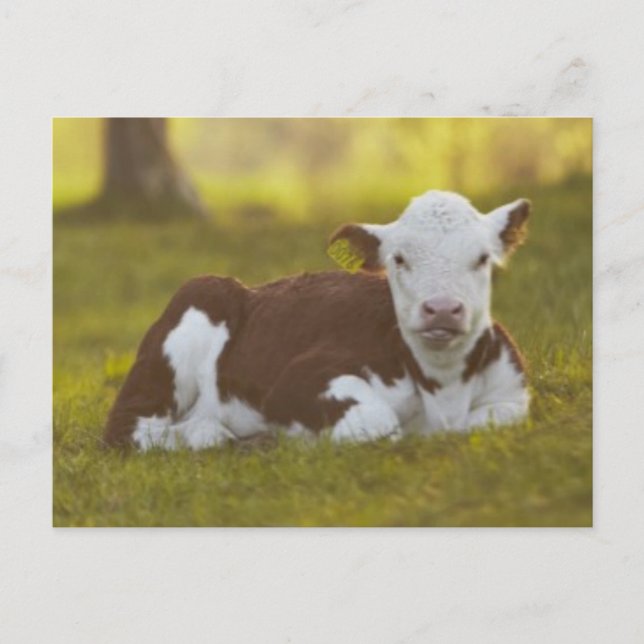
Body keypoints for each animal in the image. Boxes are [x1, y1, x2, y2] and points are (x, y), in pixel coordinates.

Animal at [104, 190, 530, 450]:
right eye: (399, 259)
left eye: (482, 258)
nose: (441, 308)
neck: (444, 392)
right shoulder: (297, 380)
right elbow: (378, 422)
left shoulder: (514, 394)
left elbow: (494, 420)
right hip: (192, 312)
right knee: (130, 428)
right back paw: (216, 434)